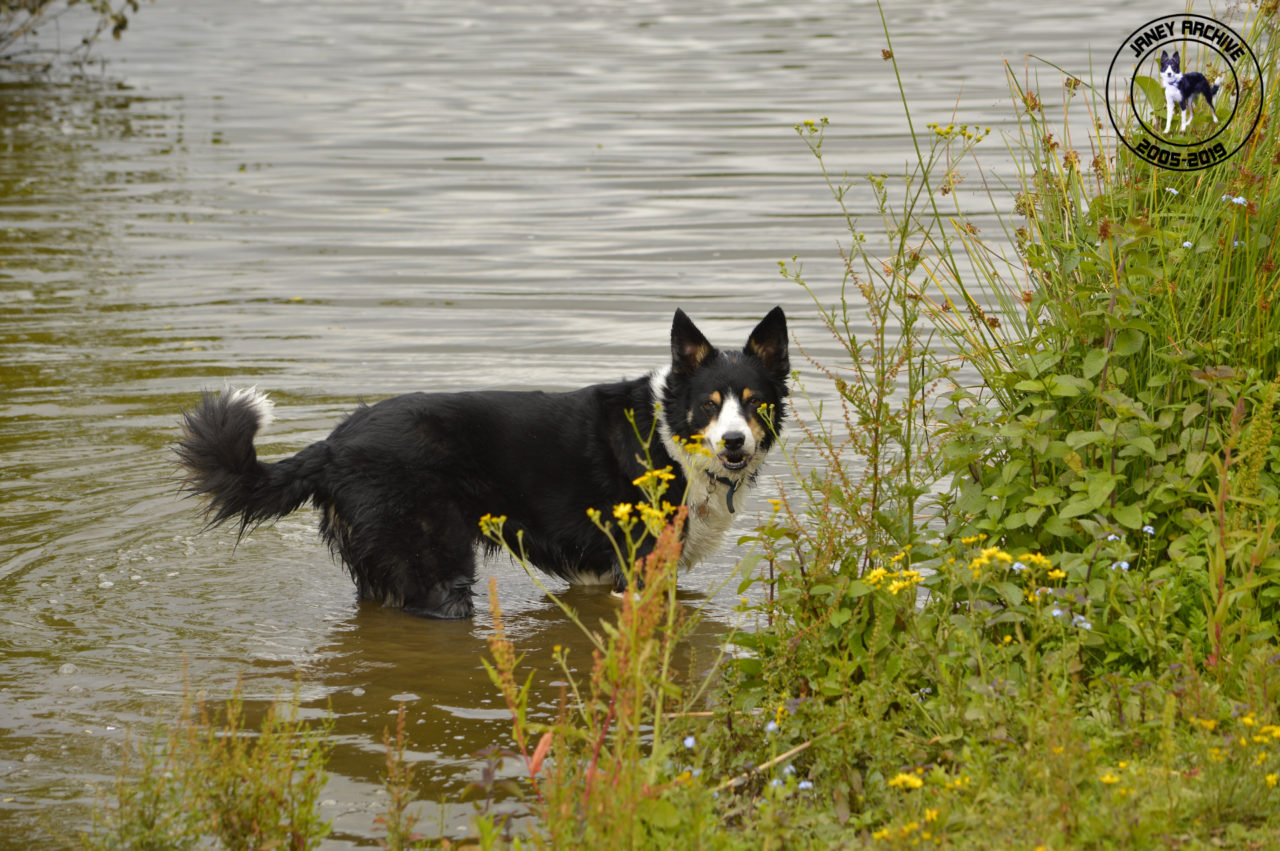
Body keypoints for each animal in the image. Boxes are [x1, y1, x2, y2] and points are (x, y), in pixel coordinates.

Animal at [174, 305, 783, 616]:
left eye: (754, 404)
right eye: (709, 405)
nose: (735, 443)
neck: (670, 433)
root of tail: (334, 443)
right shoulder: (636, 567)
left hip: (381, 571)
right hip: (434, 566)